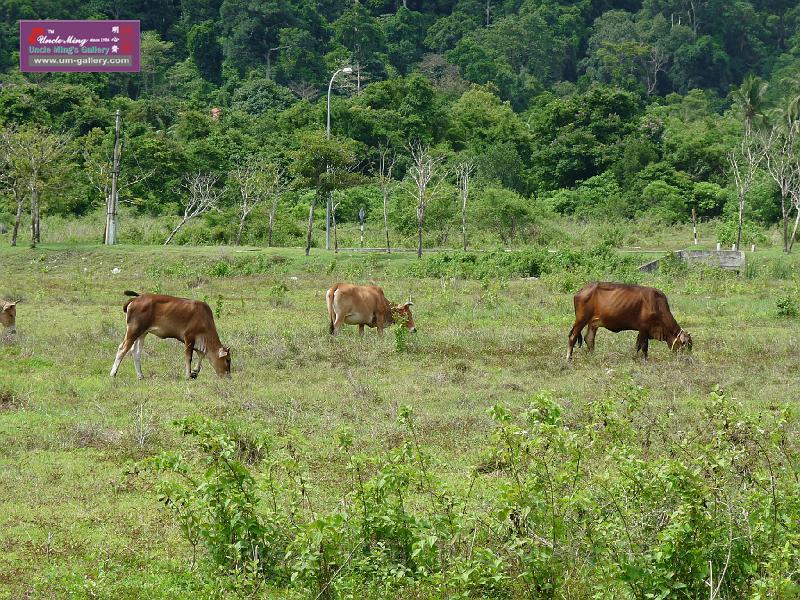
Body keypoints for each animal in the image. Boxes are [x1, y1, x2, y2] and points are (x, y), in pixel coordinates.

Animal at [564, 282, 692, 360]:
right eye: (685, 345)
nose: (687, 360)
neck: (657, 305)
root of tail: (580, 291)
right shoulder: (644, 328)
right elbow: (643, 346)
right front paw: (644, 360)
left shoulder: (642, 331)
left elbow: (638, 345)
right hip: (581, 320)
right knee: (573, 337)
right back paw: (568, 359)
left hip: (593, 323)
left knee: (589, 339)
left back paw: (593, 357)